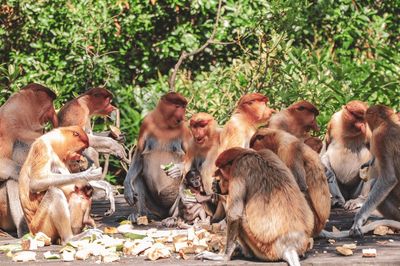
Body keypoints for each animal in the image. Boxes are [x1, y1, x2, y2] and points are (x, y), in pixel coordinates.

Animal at [123, 92, 191, 221]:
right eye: (177, 106)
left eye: (183, 107)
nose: (182, 114)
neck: (165, 124)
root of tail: (165, 213)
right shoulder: (146, 123)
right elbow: (139, 154)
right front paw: (127, 187)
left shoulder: (185, 129)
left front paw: (177, 169)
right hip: (156, 207)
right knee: (137, 177)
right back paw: (140, 214)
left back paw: (173, 219)